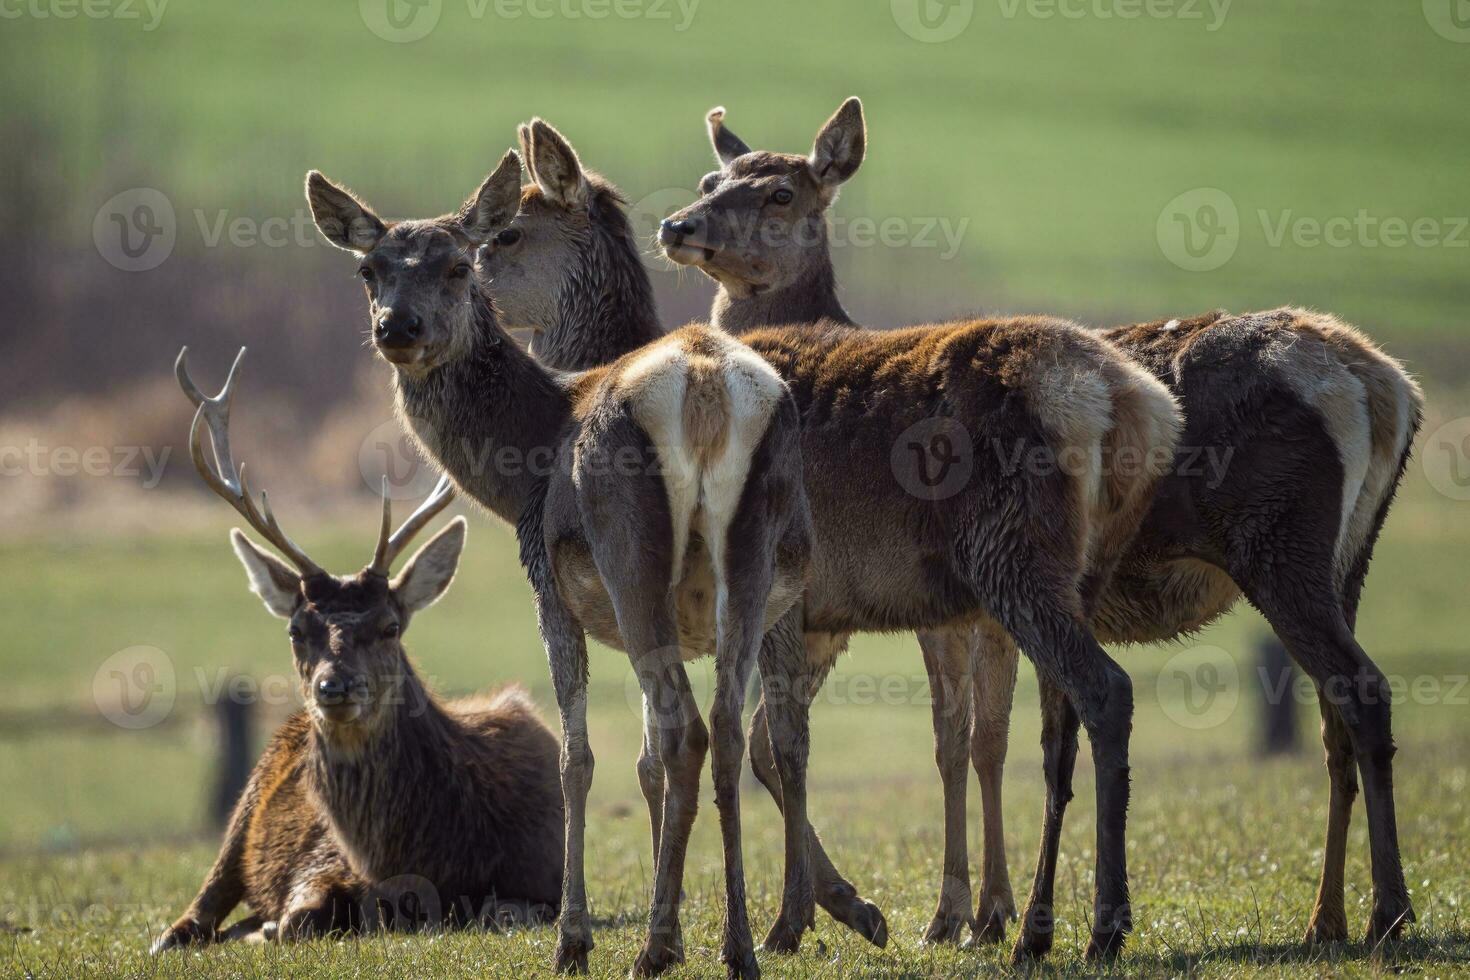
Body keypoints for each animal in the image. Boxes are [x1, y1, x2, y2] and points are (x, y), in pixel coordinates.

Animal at [150, 346, 561, 952]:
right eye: (296, 630)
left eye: (390, 626)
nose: (334, 686)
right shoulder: (321, 861)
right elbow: (300, 916)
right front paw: (268, 926)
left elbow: (502, 911)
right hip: (241, 811)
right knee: (191, 918)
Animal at [310, 139, 1181, 975]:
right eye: (368, 269)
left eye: (495, 242)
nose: (399, 329)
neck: (540, 433)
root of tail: (1132, 400)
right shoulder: (792, 609)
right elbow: (728, 748)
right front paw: (804, 914)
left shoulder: (751, 608)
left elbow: (728, 746)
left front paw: (799, 917)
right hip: (1051, 576)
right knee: (1039, 730)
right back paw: (1024, 923)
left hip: (1006, 557)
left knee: (1098, 692)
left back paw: (1088, 927)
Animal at [661, 97, 1417, 957]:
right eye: (711, 179)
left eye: (781, 193)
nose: (680, 225)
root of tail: (1383, 387)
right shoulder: (897, 612)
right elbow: (968, 740)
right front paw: (958, 911)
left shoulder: (867, 606)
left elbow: (916, 741)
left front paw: (901, 915)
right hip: (1342, 559)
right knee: (1331, 713)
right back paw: (1332, 916)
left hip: (1248, 545)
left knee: (1323, 690)